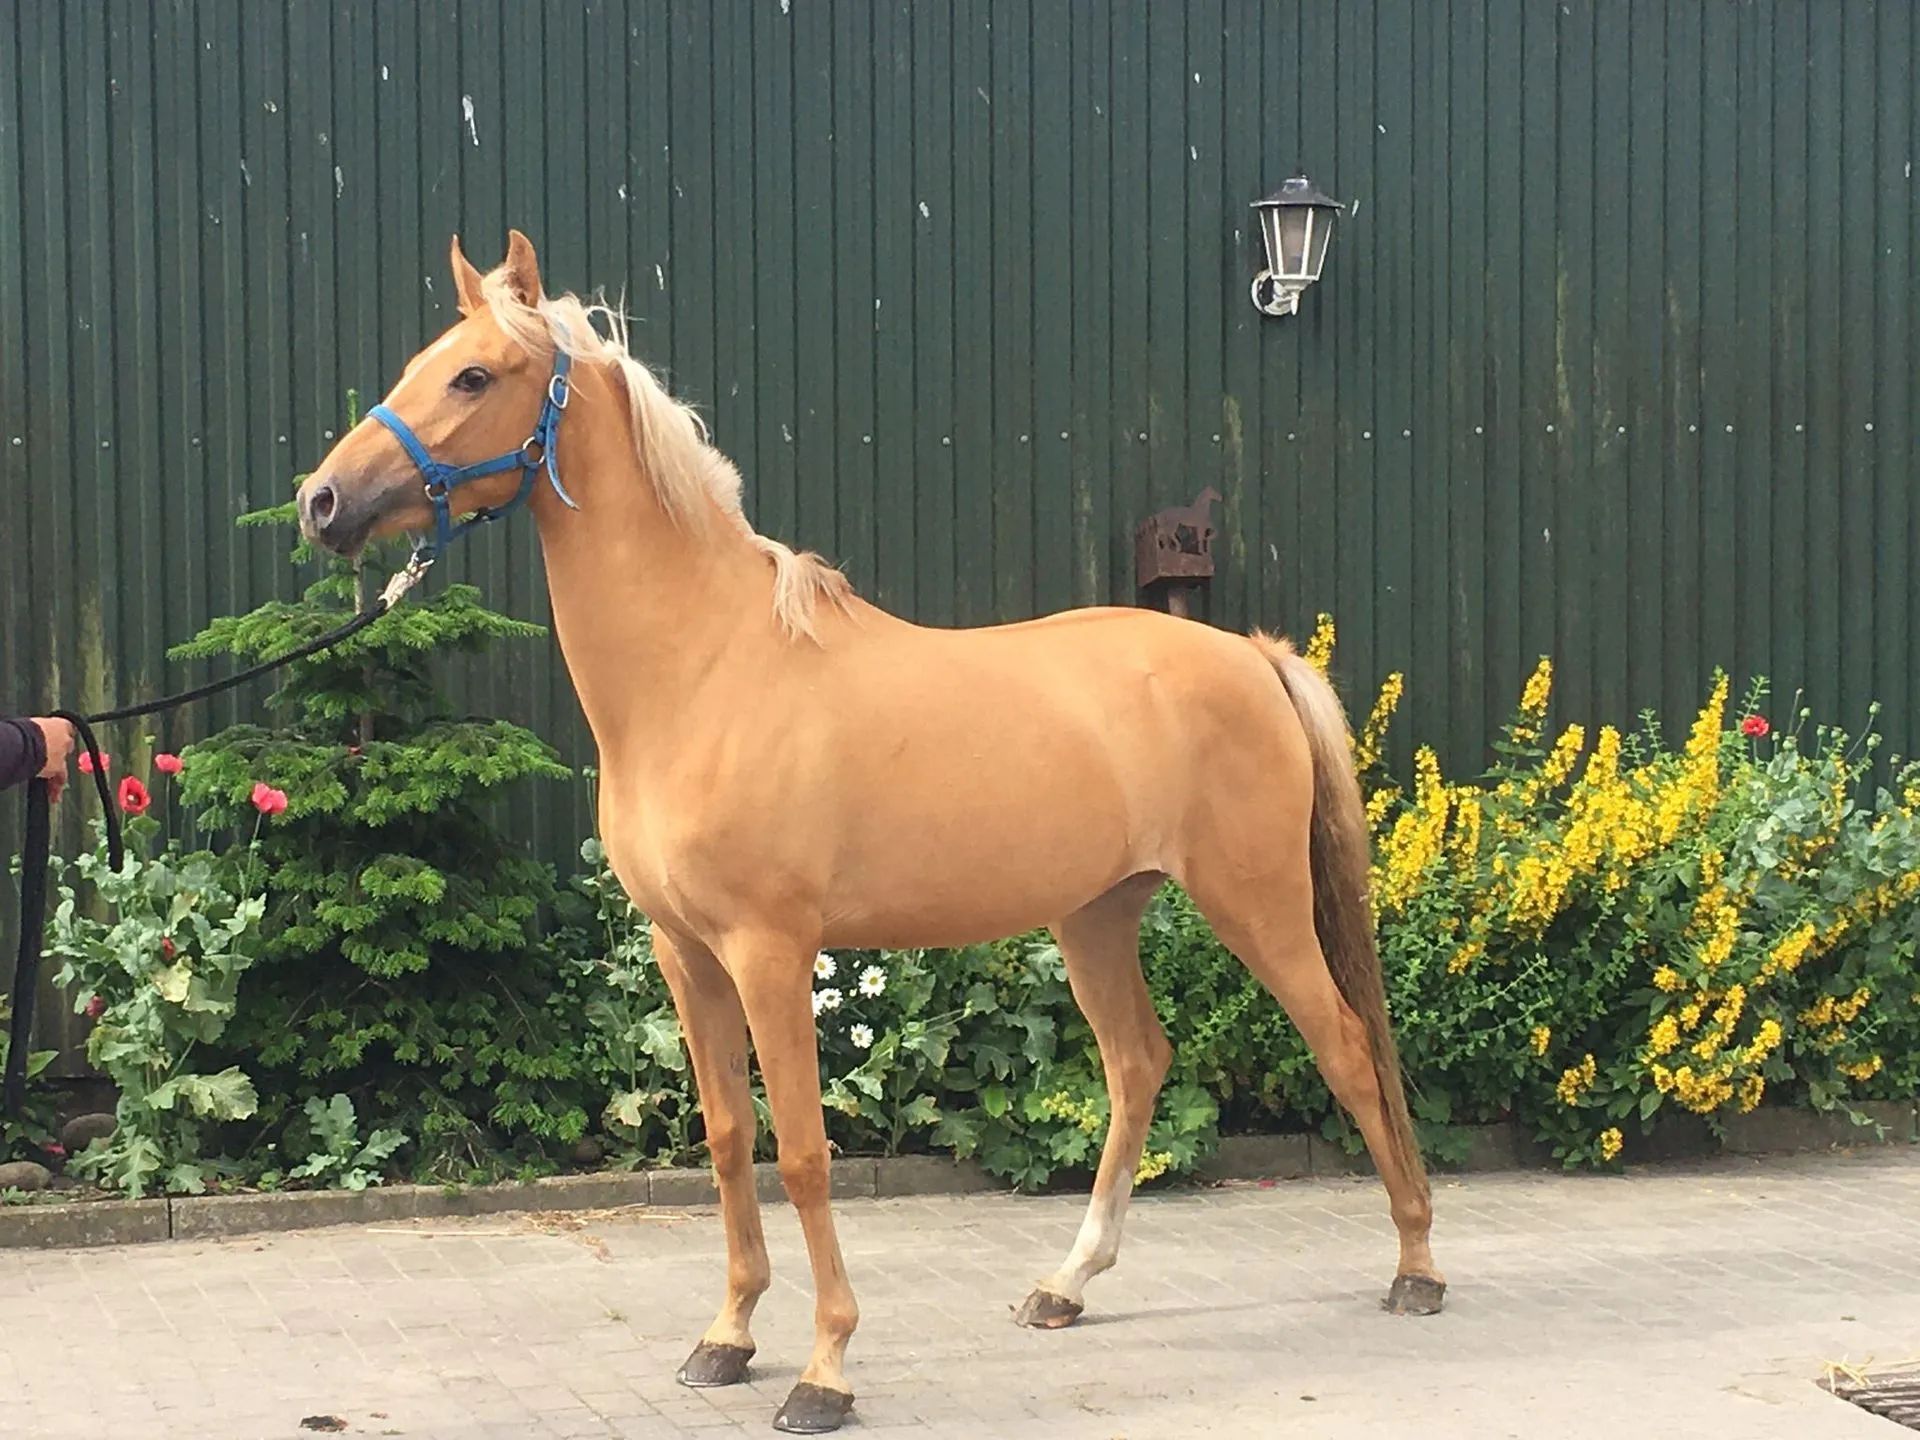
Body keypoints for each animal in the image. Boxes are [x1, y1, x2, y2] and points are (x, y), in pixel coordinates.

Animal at [299, 231, 1443, 1436]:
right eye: (423, 363)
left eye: (474, 376)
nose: (321, 502)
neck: (702, 671)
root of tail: (1253, 655)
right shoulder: (685, 955)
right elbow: (728, 1138)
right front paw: (726, 1337)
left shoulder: (771, 952)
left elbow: (804, 1153)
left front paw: (824, 1369)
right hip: (1095, 917)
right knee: (1138, 1065)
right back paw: (1066, 1286)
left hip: (1256, 905)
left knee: (1347, 1047)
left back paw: (1416, 1267)